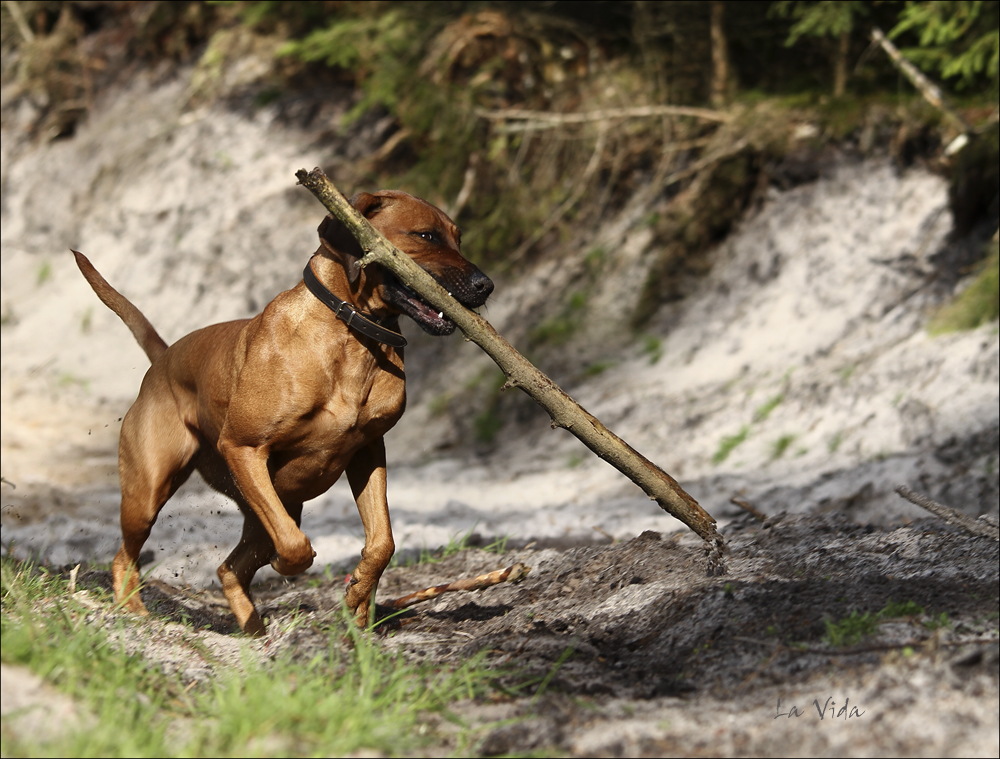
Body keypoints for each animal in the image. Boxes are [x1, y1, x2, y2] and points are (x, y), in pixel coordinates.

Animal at [73, 191, 492, 636]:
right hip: (152, 494)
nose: (487, 285)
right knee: (127, 557)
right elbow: (294, 547)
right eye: (426, 235)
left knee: (229, 569)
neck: (350, 335)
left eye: (458, 239)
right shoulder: (243, 448)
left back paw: (257, 630)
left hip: (275, 503)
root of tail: (164, 358)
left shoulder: (367, 452)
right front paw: (300, 570)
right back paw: (133, 612)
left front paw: (358, 596)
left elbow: (383, 542)